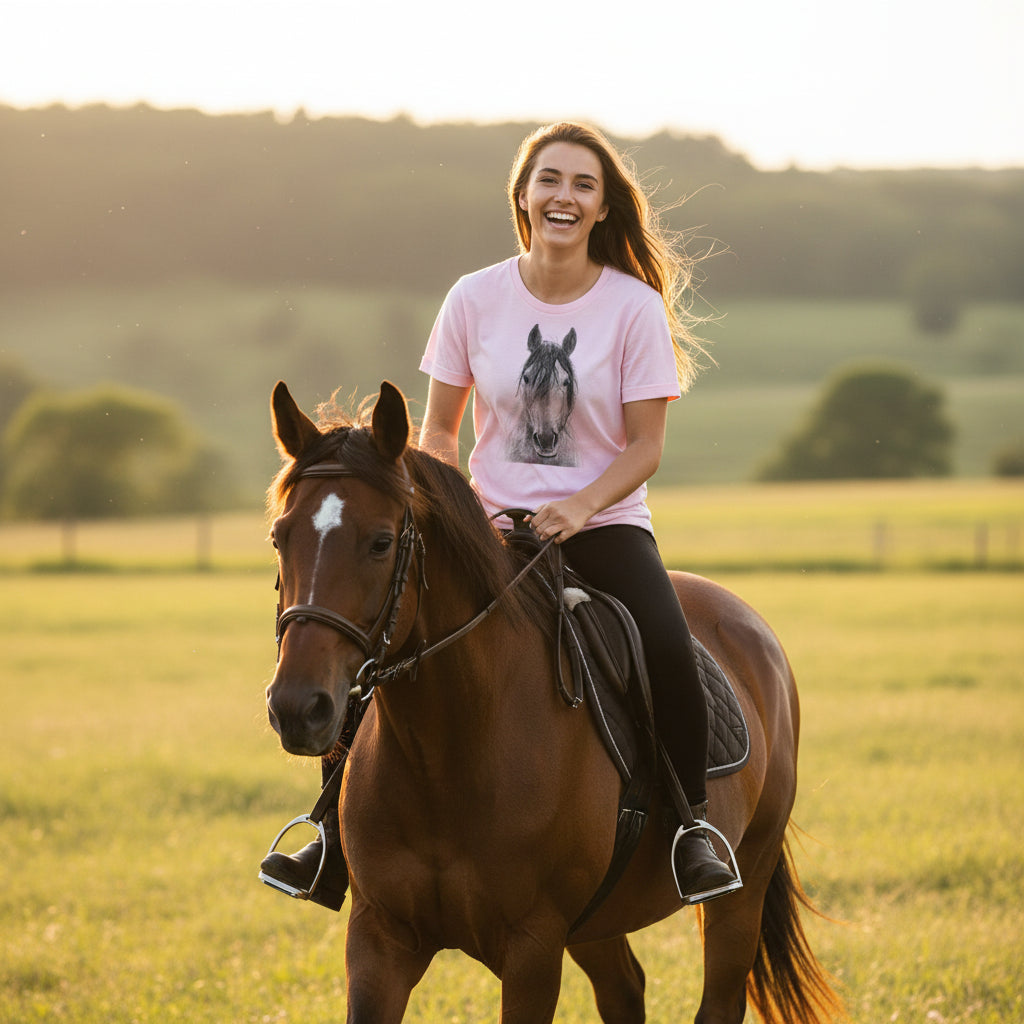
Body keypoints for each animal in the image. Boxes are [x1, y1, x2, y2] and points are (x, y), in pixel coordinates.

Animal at [264, 379, 844, 1024]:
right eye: (279, 537)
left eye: (381, 543)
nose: (298, 708)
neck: (450, 754)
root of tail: (752, 627)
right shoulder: (379, 938)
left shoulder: (534, 948)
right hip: (596, 925)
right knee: (625, 990)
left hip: (742, 888)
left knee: (718, 997)